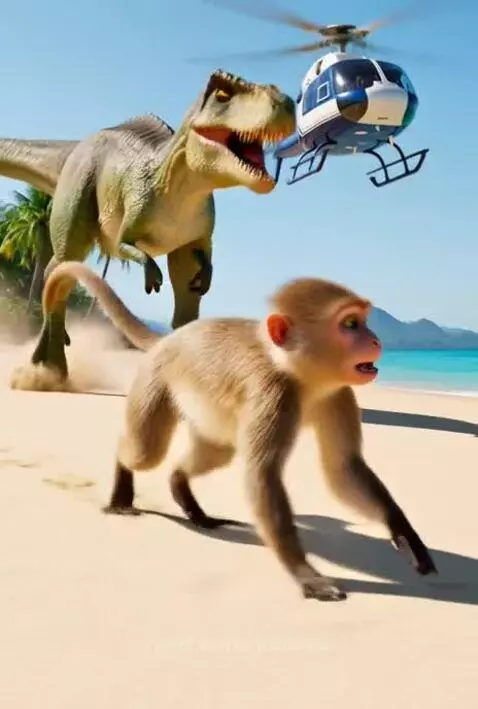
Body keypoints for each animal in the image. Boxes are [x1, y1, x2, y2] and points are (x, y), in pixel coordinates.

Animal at [42, 261, 437, 602]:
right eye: (352, 324)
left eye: (364, 321)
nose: (375, 340)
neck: (299, 376)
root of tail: (169, 339)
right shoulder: (273, 394)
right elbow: (263, 475)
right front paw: (304, 574)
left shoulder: (338, 394)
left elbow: (342, 468)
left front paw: (403, 532)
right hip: (154, 379)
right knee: (145, 451)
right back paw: (124, 485)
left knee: (216, 451)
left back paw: (185, 492)